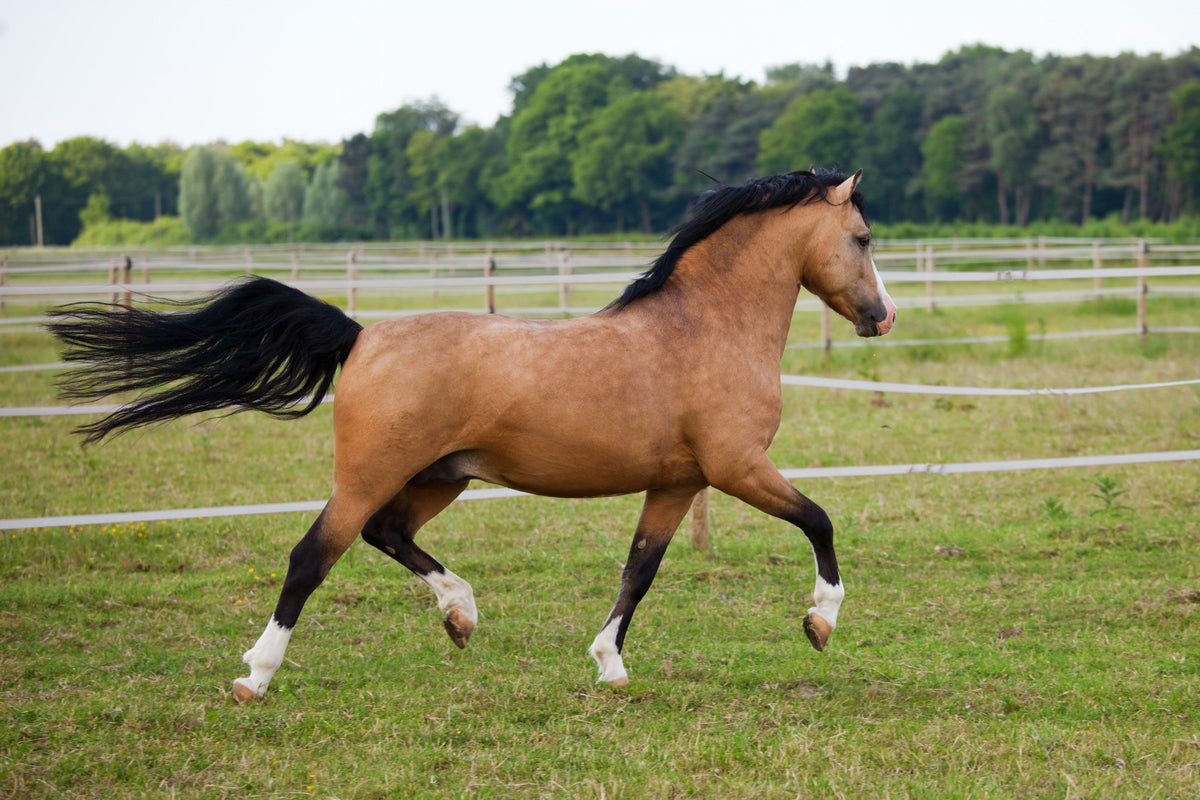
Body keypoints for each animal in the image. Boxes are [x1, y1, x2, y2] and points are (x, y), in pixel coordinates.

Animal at [47, 168, 896, 702]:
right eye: (862, 238)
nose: (882, 317)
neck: (705, 328)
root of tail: (361, 335)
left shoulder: (678, 482)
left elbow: (639, 571)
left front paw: (610, 667)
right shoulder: (736, 466)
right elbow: (820, 520)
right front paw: (820, 622)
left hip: (440, 476)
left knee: (387, 535)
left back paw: (461, 613)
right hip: (369, 475)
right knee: (312, 556)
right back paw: (255, 676)